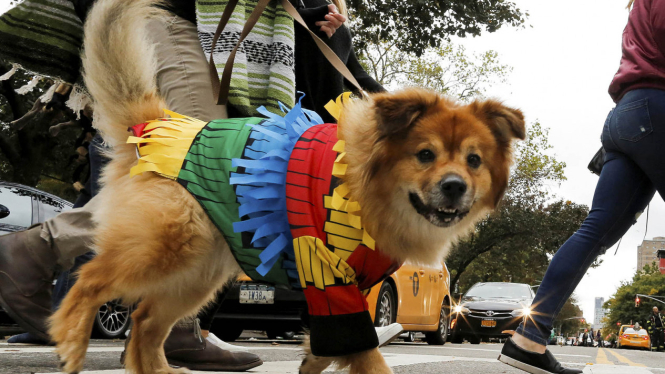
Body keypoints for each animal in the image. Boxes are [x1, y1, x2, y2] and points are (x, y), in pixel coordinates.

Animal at [46, 0, 524, 374]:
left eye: (474, 160)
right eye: (425, 154)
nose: (454, 187)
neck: (371, 185)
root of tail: (160, 126)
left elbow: (334, 344)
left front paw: (311, 361)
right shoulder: (329, 276)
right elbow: (365, 352)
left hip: (199, 271)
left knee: (145, 323)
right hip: (166, 244)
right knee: (90, 281)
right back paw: (69, 342)